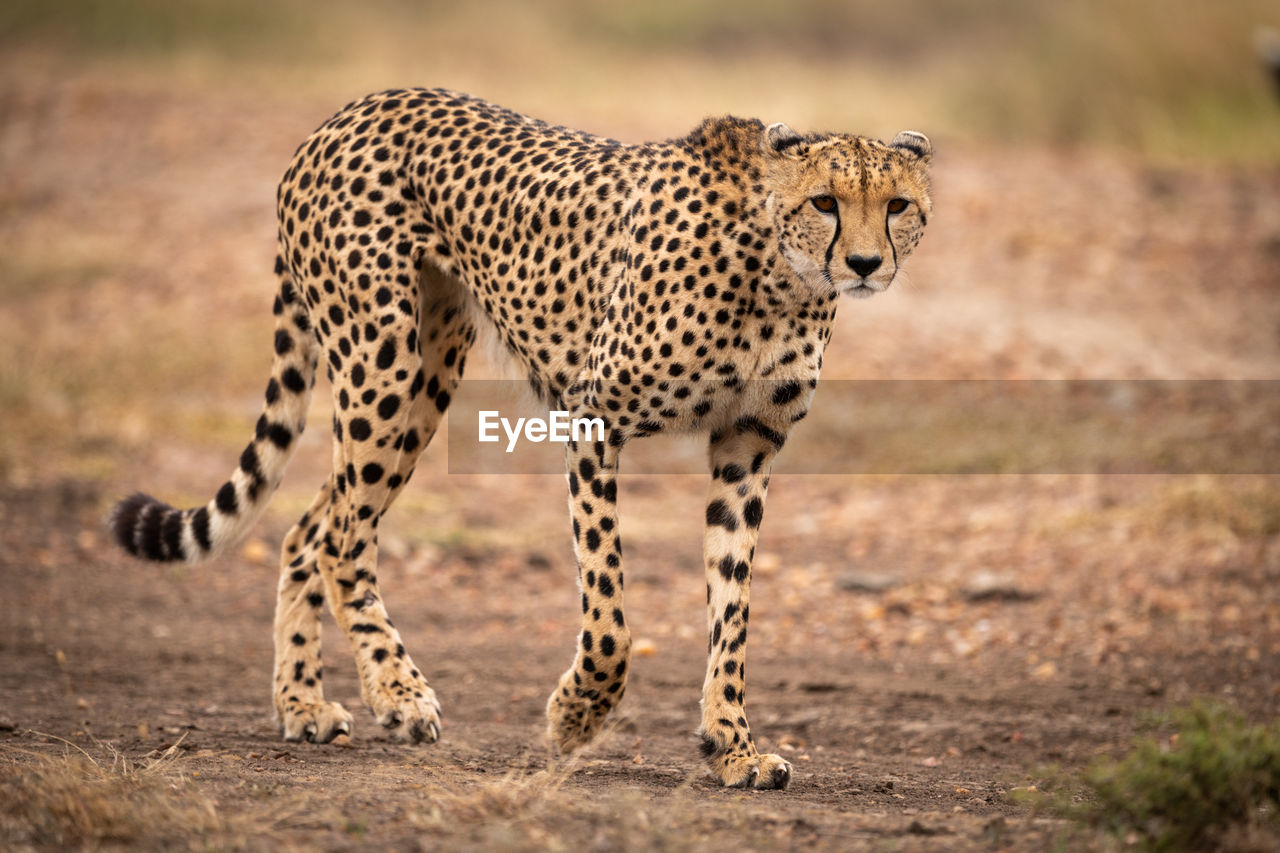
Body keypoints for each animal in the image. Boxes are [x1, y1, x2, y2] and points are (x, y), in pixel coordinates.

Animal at [112, 89, 931, 788]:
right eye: (824, 202)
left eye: (897, 205)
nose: (864, 264)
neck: (779, 276)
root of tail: (349, 110)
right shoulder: (594, 420)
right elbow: (610, 616)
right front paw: (575, 718)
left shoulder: (748, 445)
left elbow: (732, 610)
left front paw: (733, 746)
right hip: (383, 360)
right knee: (342, 537)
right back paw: (396, 691)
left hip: (428, 372)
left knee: (309, 529)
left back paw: (303, 704)